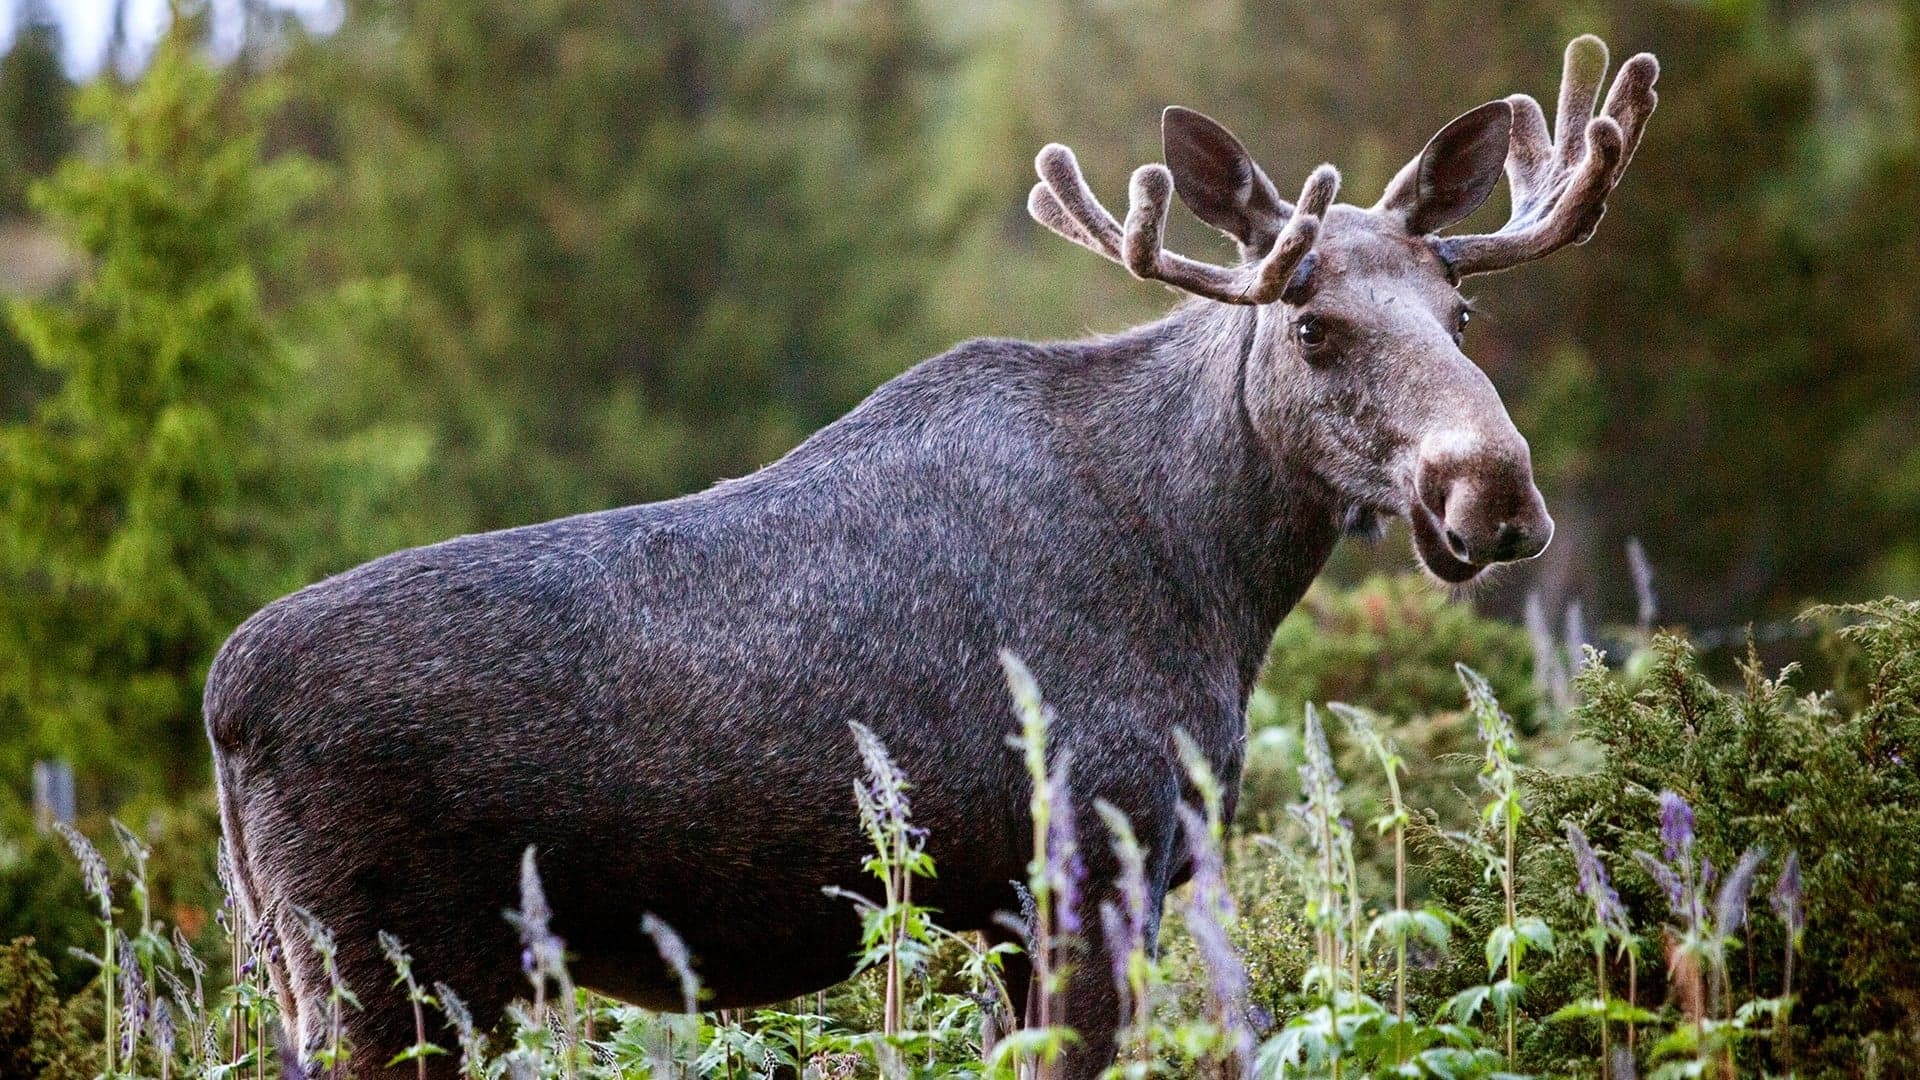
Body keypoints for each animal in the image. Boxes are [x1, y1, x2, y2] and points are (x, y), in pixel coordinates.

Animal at [206, 35, 1651, 1076]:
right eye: (1311, 326)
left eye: (1462, 310)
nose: (1492, 491)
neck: (1217, 581)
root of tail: (224, 708)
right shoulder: (1085, 861)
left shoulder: (1017, 905)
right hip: (387, 978)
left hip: (315, 975)